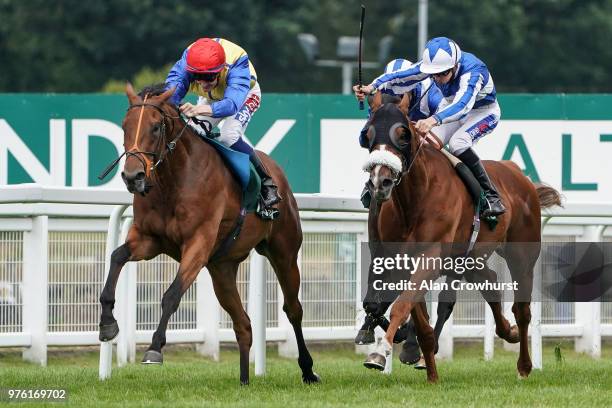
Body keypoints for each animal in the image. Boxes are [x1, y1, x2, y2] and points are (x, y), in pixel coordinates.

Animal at [95, 83, 320, 386]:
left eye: (155, 127)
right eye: (124, 126)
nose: (133, 177)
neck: (173, 182)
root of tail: (278, 172)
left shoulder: (198, 244)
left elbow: (171, 295)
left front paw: (154, 349)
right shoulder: (148, 240)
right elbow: (117, 257)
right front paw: (108, 324)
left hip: (284, 252)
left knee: (293, 309)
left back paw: (308, 369)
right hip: (222, 269)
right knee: (243, 324)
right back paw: (244, 381)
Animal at [364, 91, 560, 380]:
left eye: (403, 134)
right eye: (367, 134)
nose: (381, 181)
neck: (416, 199)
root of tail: (518, 172)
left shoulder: (431, 256)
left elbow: (403, 305)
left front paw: (380, 352)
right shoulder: (402, 261)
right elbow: (417, 317)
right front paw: (429, 372)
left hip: (522, 256)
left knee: (522, 310)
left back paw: (524, 365)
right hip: (470, 259)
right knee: (491, 282)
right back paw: (508, 332)